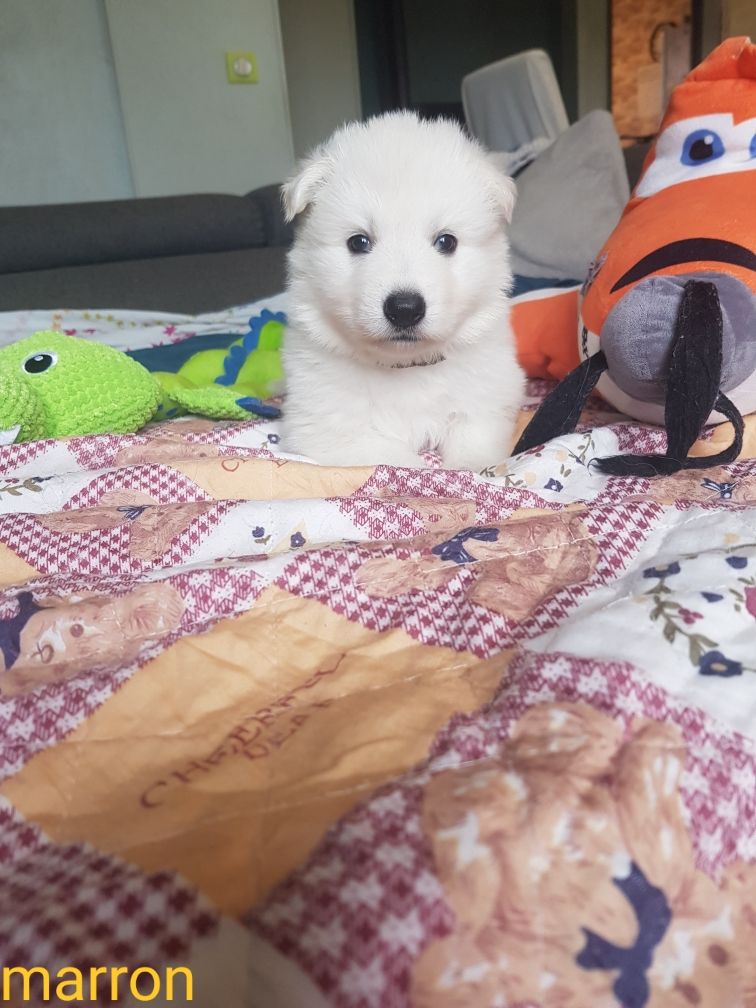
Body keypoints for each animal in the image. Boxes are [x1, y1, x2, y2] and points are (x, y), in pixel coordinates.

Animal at [280, 111, 525, 470]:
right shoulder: (330, 430)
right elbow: (399, 461)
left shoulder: (486, 401)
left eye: (446, 241)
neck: (406, 368)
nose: (405, 309)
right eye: (358, 242)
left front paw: (470, 469)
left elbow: (474, 446)